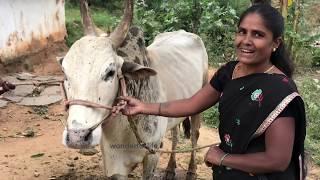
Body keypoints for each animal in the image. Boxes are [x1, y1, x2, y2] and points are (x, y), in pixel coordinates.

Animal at [61, 0, 209, 179]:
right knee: (175, 135)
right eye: (64, 72)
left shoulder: (153, 153)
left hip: (199, 104)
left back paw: (191, 171)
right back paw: (170, 169)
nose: (78, 137)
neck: (123, 129)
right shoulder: (113, 162)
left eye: (110, 72)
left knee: (194, 135)